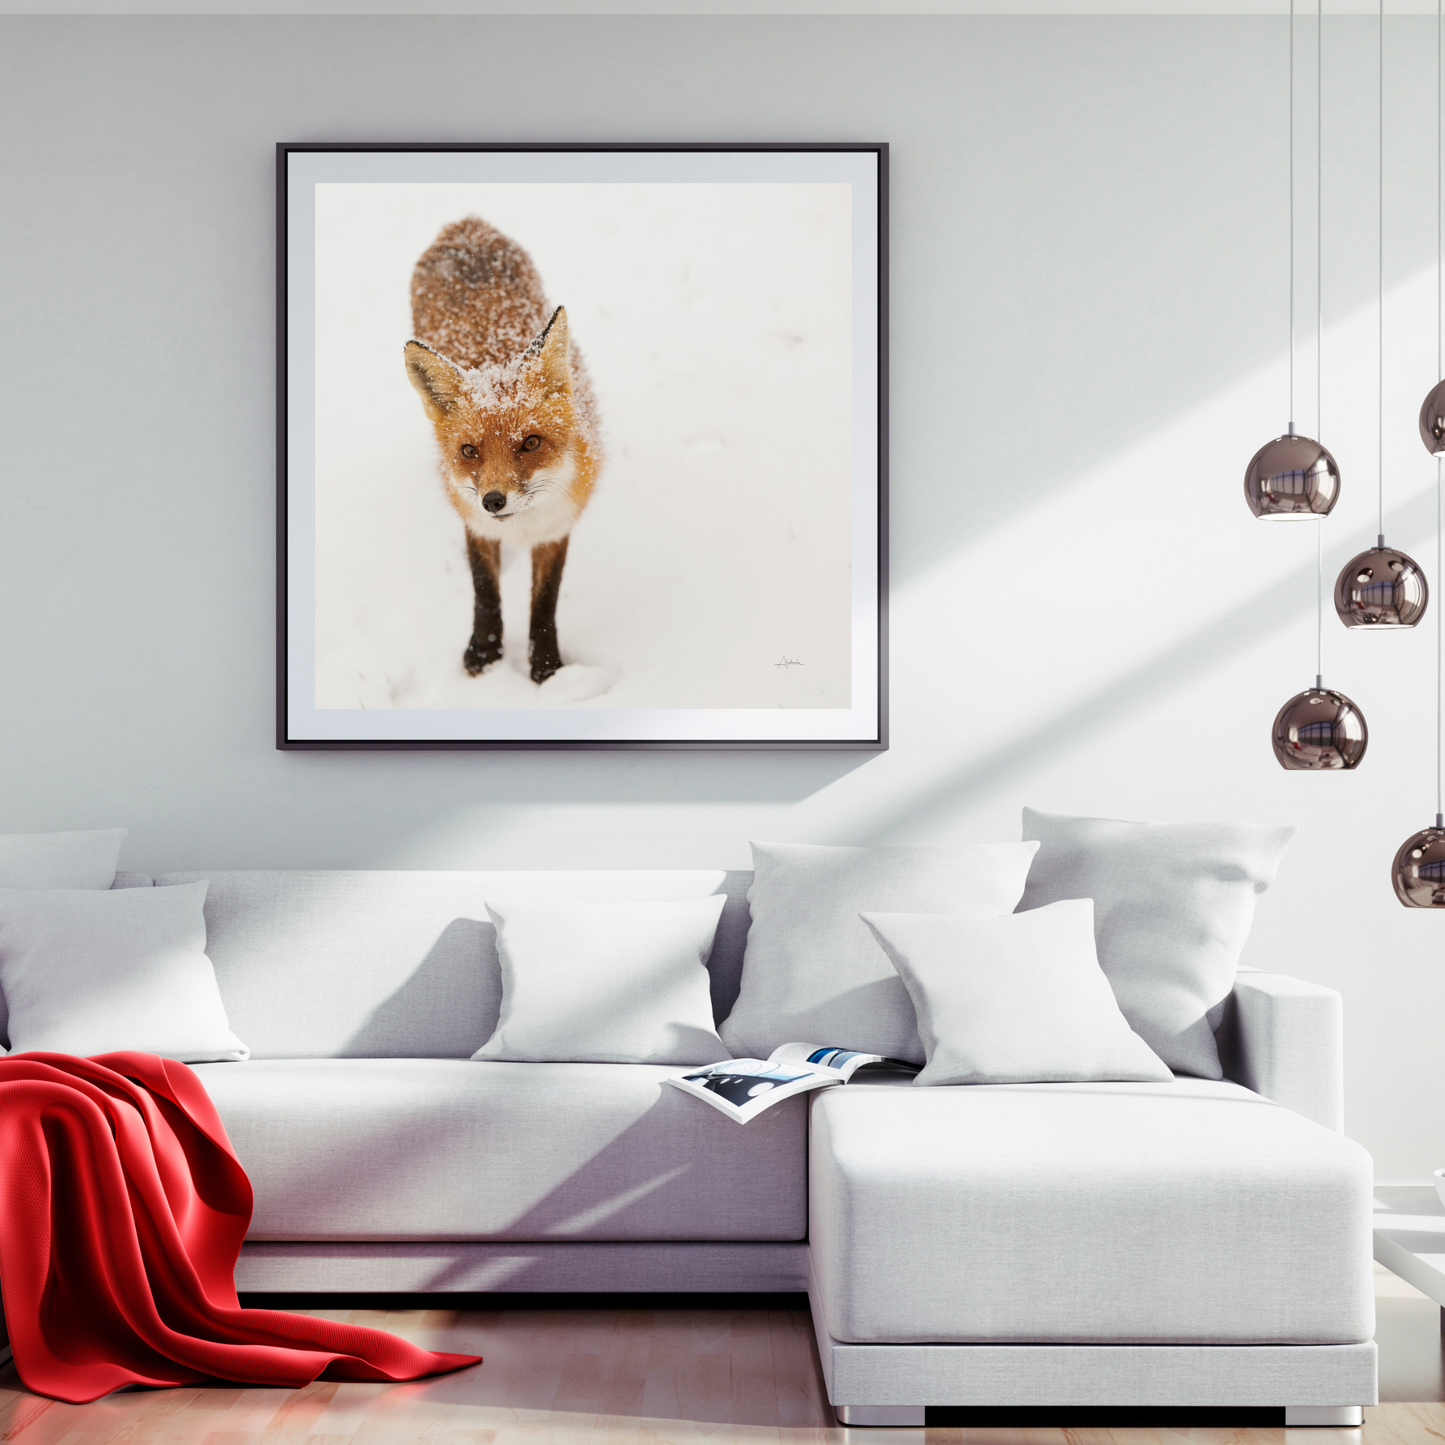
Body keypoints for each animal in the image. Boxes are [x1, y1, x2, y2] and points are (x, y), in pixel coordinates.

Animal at [404, 216, 600, 684]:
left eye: (530, 442)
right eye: (469, 450)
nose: (494, 500)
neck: (521, 528)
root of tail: (467, 222)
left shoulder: (556, 528)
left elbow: (544, 602)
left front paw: (546, 666)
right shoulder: (475, 524)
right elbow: (484, 590)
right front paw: (484, 651)